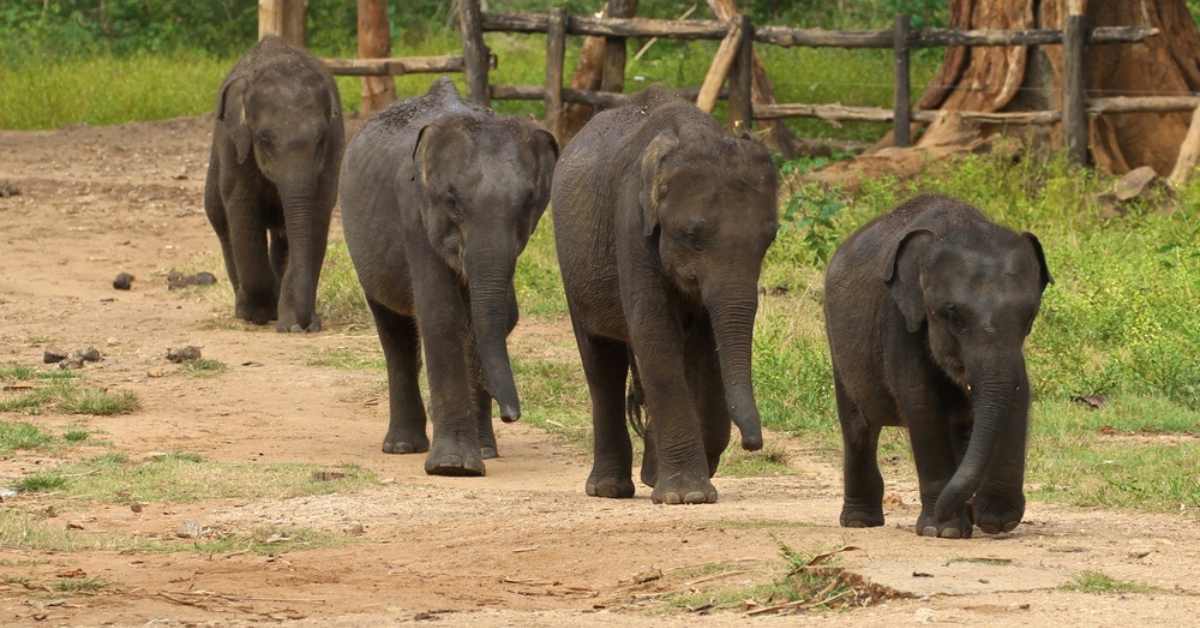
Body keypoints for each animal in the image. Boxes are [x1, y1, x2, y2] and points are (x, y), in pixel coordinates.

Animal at [205, 34, 345, 331]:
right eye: (264, 139)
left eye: (320, 140)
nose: (307, 323)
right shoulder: (234, 146)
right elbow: (242, 210)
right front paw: (259, 314)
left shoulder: (334, 148)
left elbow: (317, 212)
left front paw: (293, 324)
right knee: (223, 225)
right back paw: (245, 308)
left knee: (282, 237)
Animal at [340, 76, 559, 475]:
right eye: (452, 201)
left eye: (528, 203)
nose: (512, 415)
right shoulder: (414, 212)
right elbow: (442, 315)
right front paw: (454, 467)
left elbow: (488, 319)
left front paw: (478, 455)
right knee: (393, 330)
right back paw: (401, 447)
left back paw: (484, 449)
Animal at [552, 85, 777, 506]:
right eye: (691, 235)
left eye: (769, 238)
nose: (753, 444)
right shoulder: (630, 222)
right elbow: (654, 332)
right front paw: (686, 495)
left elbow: (707, 344)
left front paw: (685, 483)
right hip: (572, 264)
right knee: (601, 361)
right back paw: (609, 489)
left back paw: (650, 475)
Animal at [825, 196, 1051, 540]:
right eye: (952, 314)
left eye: (1029, 315)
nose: (986, 516)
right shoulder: (900, 320)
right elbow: (922, 403)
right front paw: (942, 529)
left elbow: (1017, 393)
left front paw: (994, 521)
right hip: (838, 344)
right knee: (858, 427)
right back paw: (860, 521)